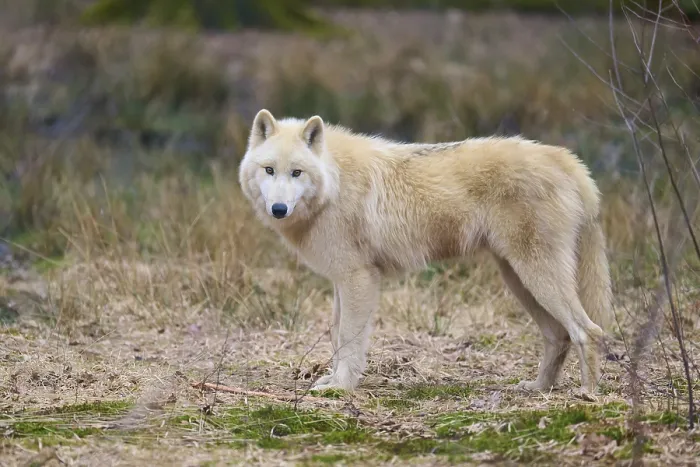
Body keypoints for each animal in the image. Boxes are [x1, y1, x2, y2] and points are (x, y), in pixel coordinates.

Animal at [238, 109, 613, 400]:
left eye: (296, 172)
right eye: (269, 170)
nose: (279, 209)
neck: (334, 182)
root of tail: (566, 159)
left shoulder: (359, 280)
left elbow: (348, 338)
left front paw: (340, 388)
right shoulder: (341, 282)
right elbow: (335, 335)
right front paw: (332, 379)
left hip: (536, 277)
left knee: (588, 331)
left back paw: (587, 394)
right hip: (519, 280)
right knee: (559, 336)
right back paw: (538, 388)